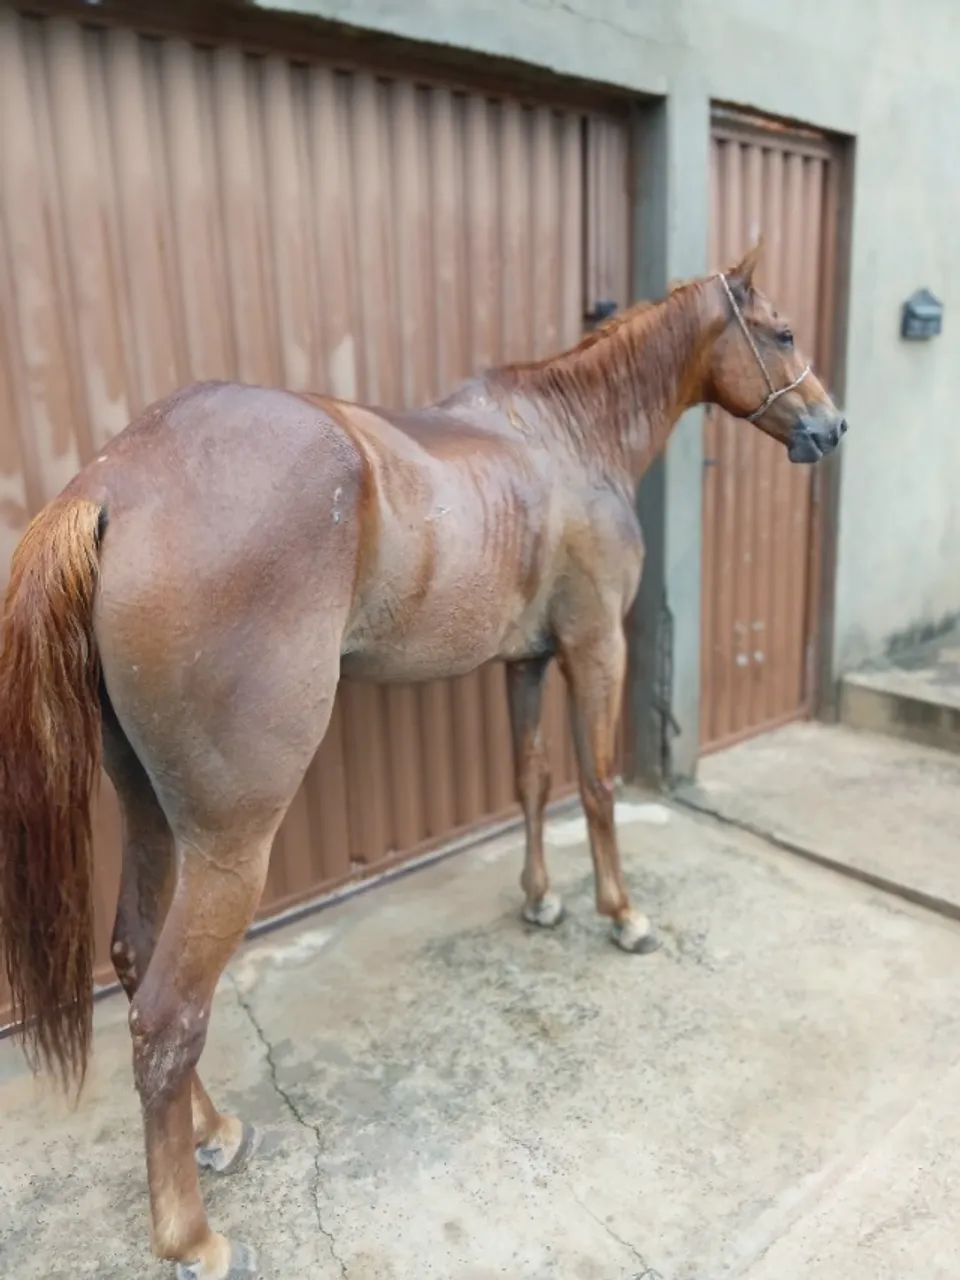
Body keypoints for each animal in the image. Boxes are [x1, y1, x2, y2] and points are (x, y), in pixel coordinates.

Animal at [0, 242, 846, 1279]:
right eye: (782, 331)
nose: (831, 426)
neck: (568, 441)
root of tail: (115, 485)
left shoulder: (527, 661)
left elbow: (532, 780)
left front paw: (540, 900)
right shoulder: (595, 647)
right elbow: (598, 786)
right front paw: (622, 915)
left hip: (153, 811)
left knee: (131, 957)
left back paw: (214, 1131)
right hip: (230, 843)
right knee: (168, 1014)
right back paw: (191, 1234)